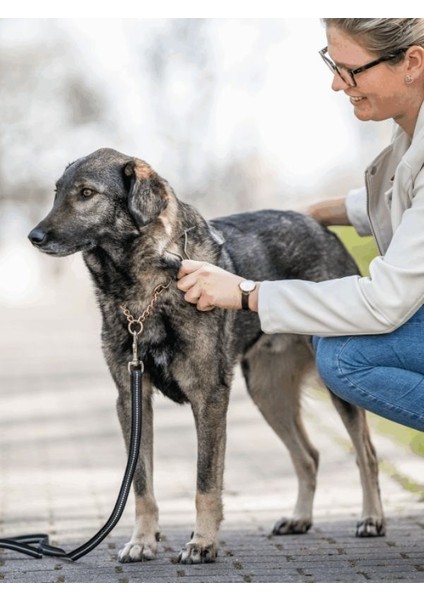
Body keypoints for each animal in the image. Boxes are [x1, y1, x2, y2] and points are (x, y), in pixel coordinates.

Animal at [28, 149, 386, 564]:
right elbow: (142, 484)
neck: (144, 289)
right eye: (57, 192)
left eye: (87, 193)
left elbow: (206, 481)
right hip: (267, 394)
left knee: (366, 454)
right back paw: (299, 518)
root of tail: (315, 224)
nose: (34, 237)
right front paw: (143, 540)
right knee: (308, 456)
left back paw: (372, 518)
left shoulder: (209, 397)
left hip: (327, 388)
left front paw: (202, 542)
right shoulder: (132, 399)